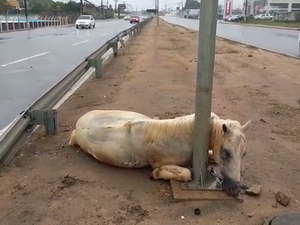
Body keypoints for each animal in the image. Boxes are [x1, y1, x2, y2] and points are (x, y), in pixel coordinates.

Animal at [68, 110, 251, 196]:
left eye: (244, 154)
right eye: (226, 152)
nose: (235, 189)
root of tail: (78, 124)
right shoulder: (160, 162)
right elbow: (185, 173)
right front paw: (156, 175)